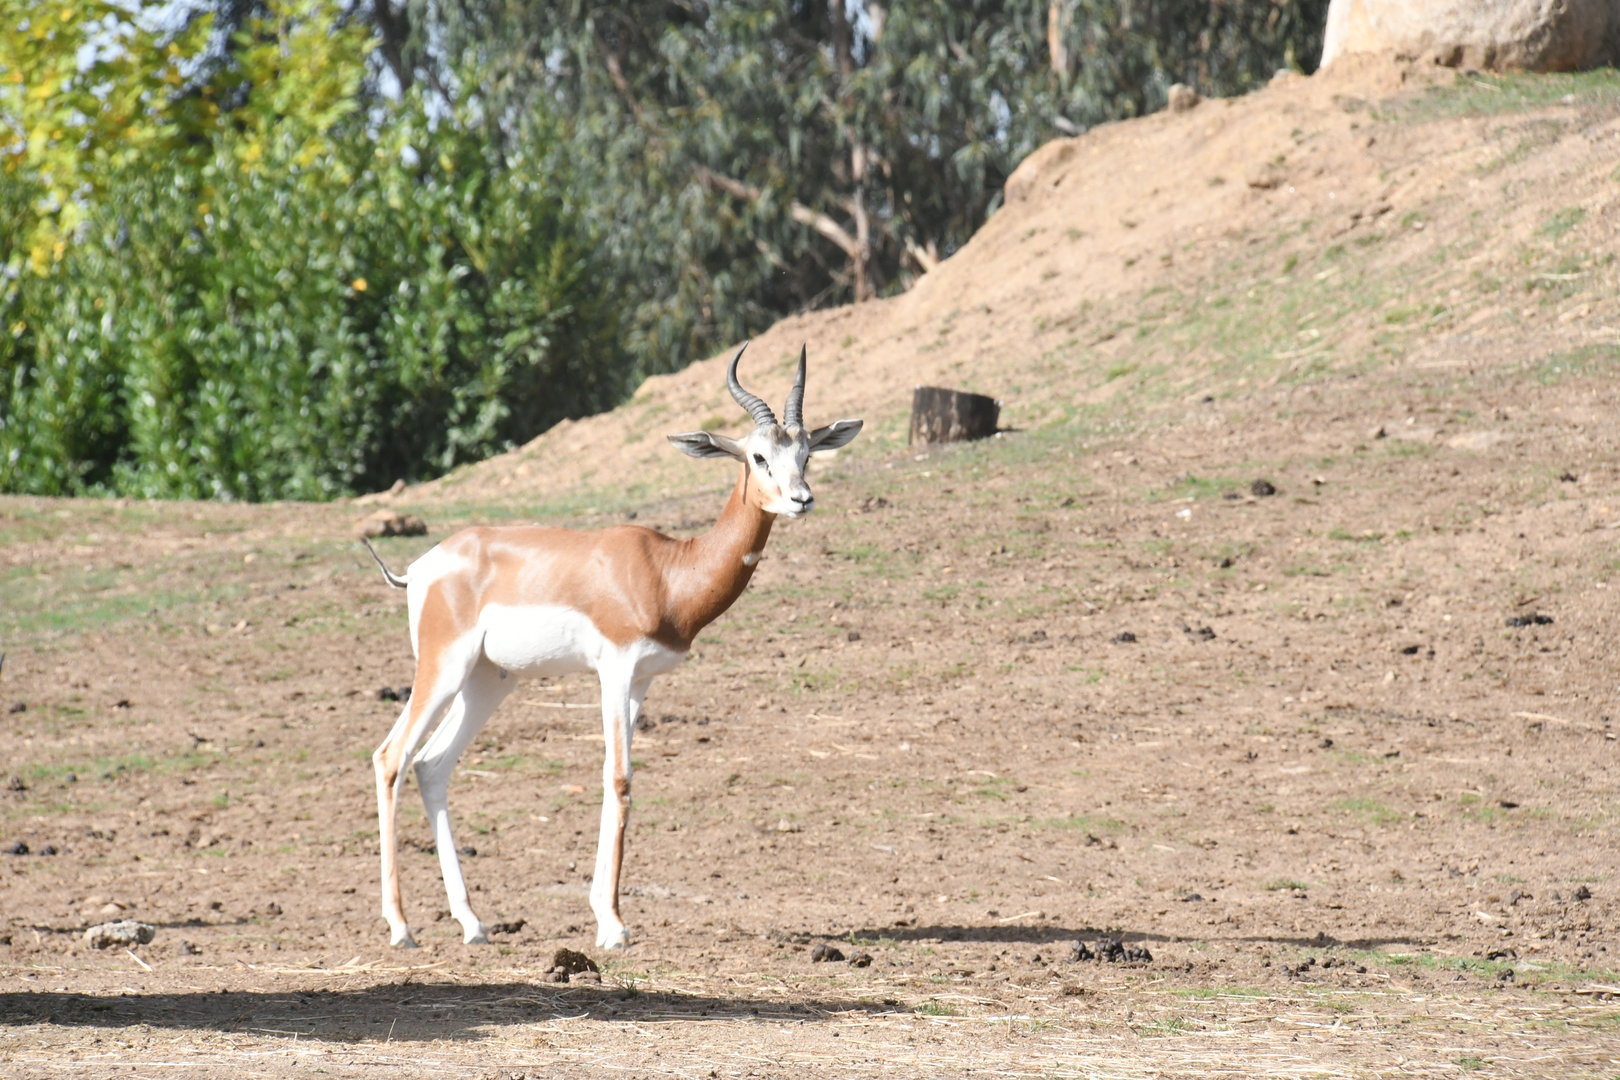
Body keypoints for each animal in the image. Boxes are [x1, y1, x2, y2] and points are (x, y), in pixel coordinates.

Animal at [362, 342, 861, 949]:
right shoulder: (615, 668)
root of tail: (420, 567)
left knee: (433, 765)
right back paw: (401, 927)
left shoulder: (642, 680)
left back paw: (473, 924)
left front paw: (604, 916)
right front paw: (617, 927)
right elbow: (620, 779)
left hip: (488, 680)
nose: (801, 499)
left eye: (807, 454)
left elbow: (612, 780)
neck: (669, 570)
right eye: (759, 456)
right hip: (443, 667)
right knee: (392, 757)